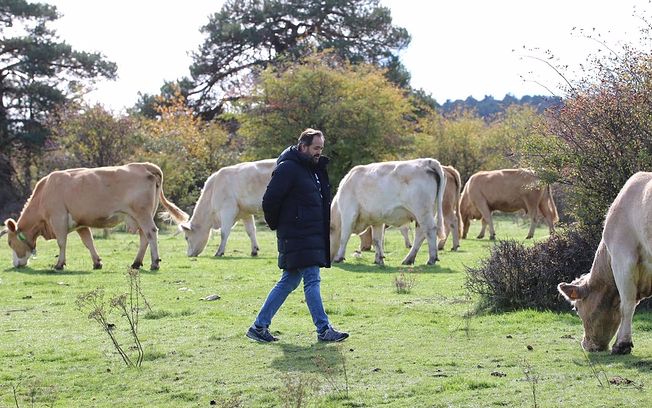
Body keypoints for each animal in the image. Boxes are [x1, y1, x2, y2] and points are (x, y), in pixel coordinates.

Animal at [1, 163, 188, 270]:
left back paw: (155, 263)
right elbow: (88, 241)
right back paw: (136, 263)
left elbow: (62, 243)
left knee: (151, 233)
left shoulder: (58, 218)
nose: (15, 264)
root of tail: (144, 165)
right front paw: (97, 262)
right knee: (144, 237)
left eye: (10, 243)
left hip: (142, 214)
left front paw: (59, 264)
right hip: (141, 216)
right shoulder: (81, 223)